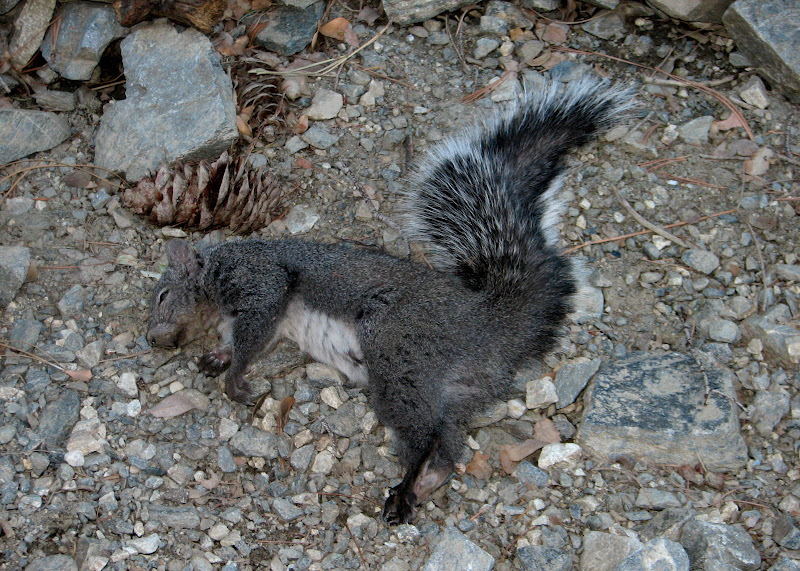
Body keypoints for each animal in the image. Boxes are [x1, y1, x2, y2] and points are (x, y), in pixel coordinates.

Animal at [146, 76, 633, 524]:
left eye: (163, 295)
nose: (150, 340)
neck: (213, 284)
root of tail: (488, 321)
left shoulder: (260, 280)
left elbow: (254, 332)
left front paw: (235, 378)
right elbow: (242, 339)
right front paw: (217, 356)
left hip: (396, 351)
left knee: (422, 437)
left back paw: (403, 490)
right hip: (461, 389)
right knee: (448, 445)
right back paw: (429, 480)